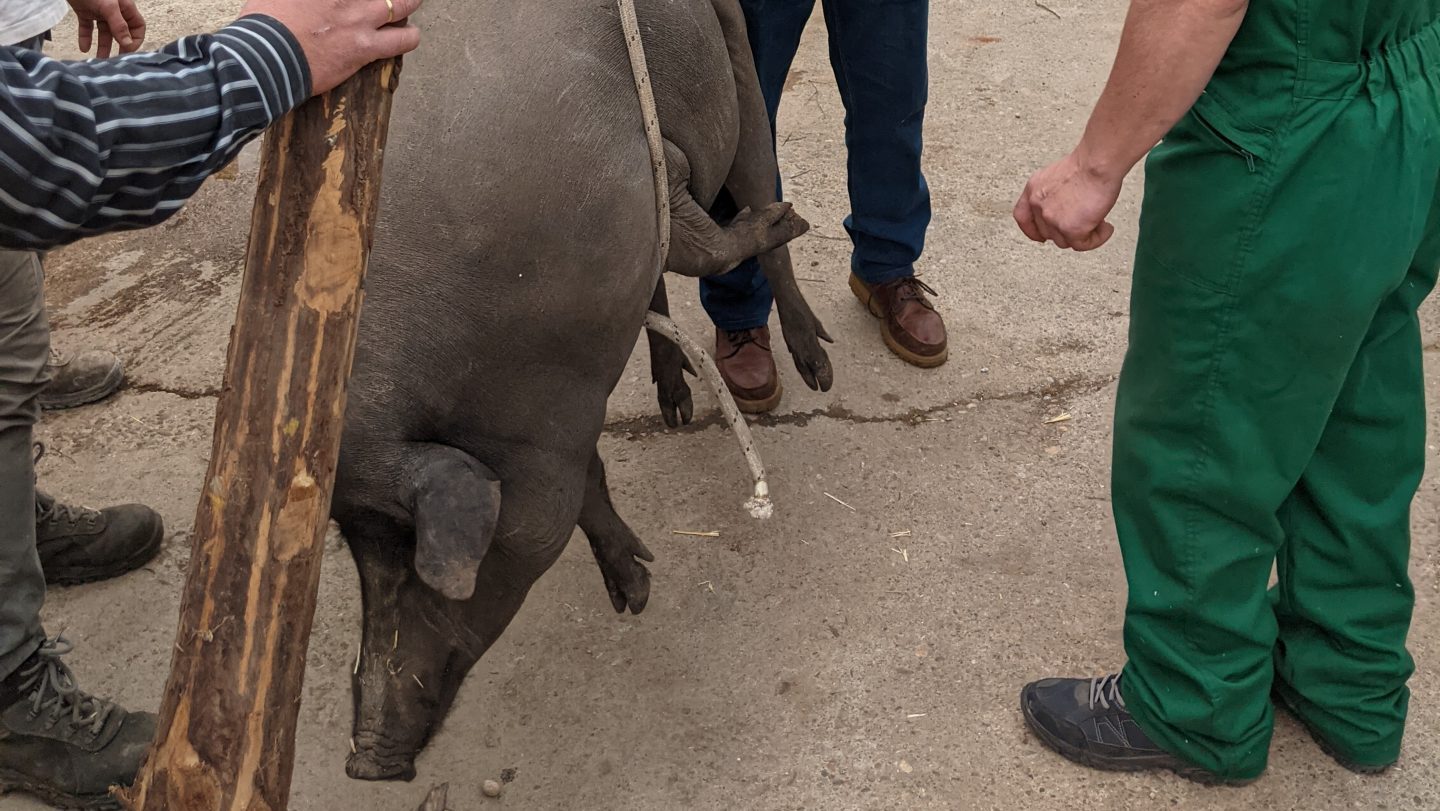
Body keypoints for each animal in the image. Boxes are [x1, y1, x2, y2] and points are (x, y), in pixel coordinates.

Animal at [331, 0, 835, 777]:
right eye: (355, 542)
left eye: (420, 550)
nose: (365, 762)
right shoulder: (556, 421)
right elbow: (585, 483)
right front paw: (636, 594)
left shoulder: (657, 174)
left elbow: (710, 238)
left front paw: (788, 223)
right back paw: (673, 406)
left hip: (734, 51)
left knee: (758, 179)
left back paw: (814, 358)